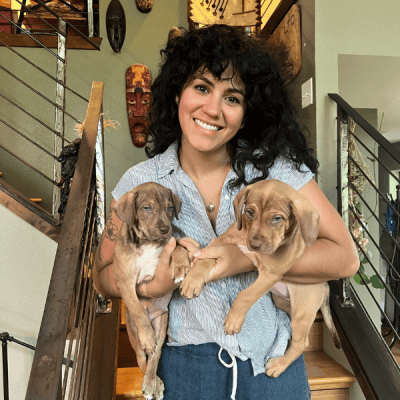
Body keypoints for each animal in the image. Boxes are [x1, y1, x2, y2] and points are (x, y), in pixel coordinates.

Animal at [111, 183, 189, 398]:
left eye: (170, 207)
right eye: (147, 208)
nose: (165, 228)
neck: (148, 242)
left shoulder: (171, 241)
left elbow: (179, 246)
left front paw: (180, 266)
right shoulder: (125, 282)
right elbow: (137, 309)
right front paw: (147, 335)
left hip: (162, 323)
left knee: (156, 355)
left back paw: (154, 382)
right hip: (133, 335)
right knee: (143, 359)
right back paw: (151, 383)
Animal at [181, 181, 340, 378]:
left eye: (277, 218)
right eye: (249, 212)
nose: (254, 245)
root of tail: (326, 288)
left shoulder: (270, 274)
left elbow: (245, 296)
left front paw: (233, 320)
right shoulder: (222, 241)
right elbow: (205, 256)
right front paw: (192, 280)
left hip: (303, 311)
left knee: (302, 343)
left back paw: (279, 364)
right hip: (283, 303)